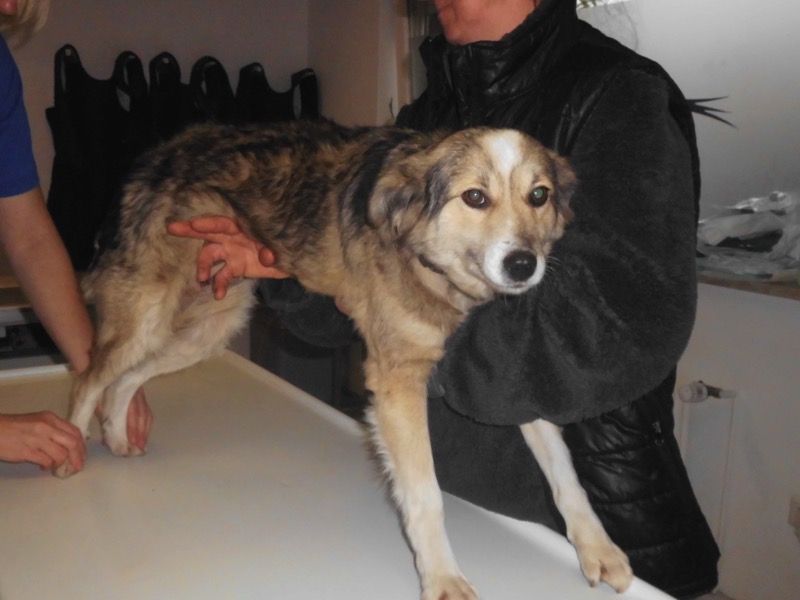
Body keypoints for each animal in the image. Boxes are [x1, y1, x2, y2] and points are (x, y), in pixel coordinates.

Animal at [56, 119, 633, 598]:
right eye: (475, 197)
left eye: (539, 196)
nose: (522, 265)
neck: (432, 266)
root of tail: (159, 154)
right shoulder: (397, 380)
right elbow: (426, 497)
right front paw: (443, 578)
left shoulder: (512, 377)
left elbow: (565, 475)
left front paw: (598, 550)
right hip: (147, 316)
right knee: (89, 377)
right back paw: (71, 451)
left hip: (208, 329)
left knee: (123, 380)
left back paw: (116, 435)